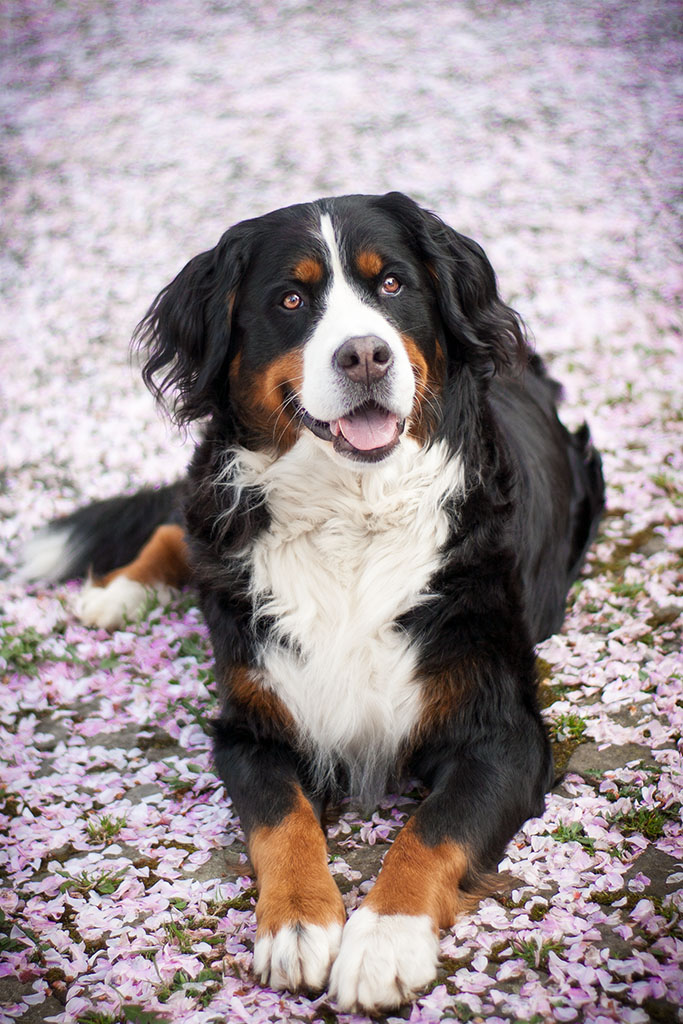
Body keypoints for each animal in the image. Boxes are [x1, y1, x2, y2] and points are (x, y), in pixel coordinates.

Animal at [21, 193, 606, 1015]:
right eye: (291, 301)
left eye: (390, 284)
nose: (364, 355)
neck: (350, 515)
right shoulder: (252, 724)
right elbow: (282, 821)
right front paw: (297, 926)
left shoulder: (500, 732)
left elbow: (433, 830)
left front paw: (383, 939)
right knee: (183, 519)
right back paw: (120, 591)